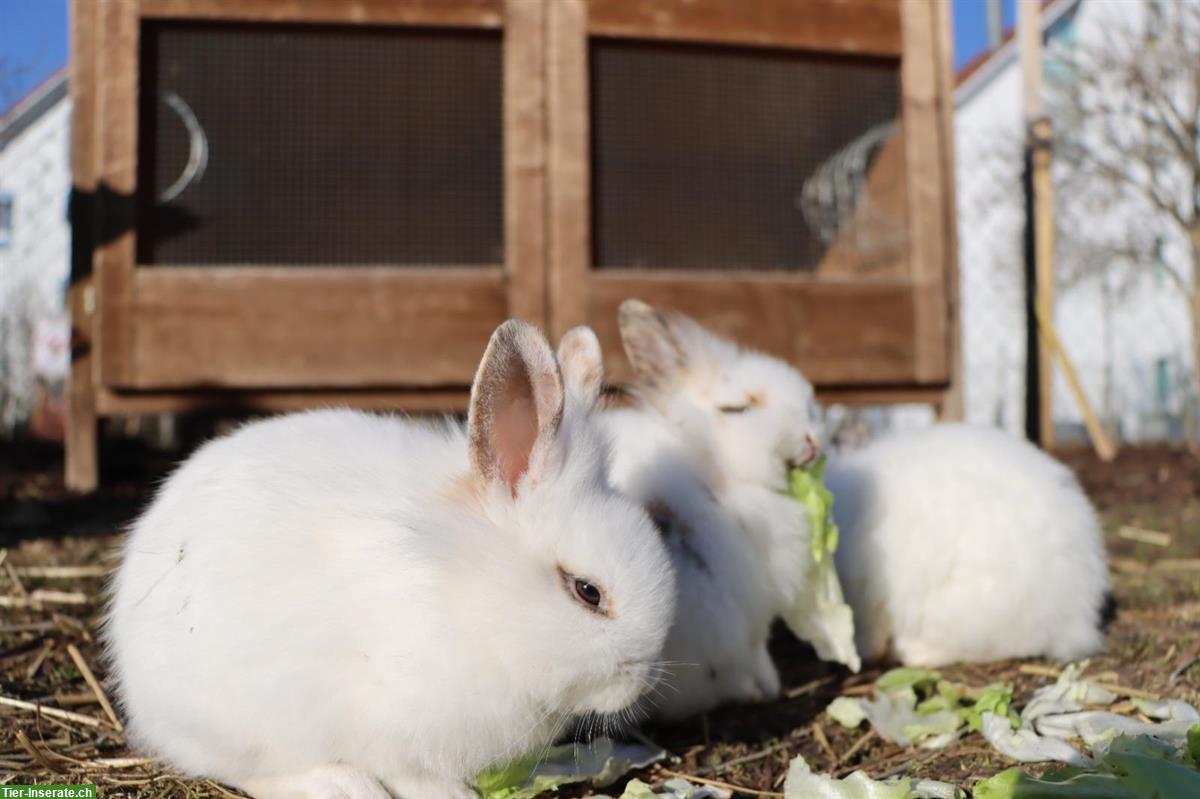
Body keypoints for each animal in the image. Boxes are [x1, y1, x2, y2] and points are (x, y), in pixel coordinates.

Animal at [103, 319, 676, 796]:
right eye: (587, 592)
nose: (644, 679)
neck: (472, 605)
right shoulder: (396, 724)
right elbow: (411, 774)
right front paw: (455, 796)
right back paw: (341, 786)